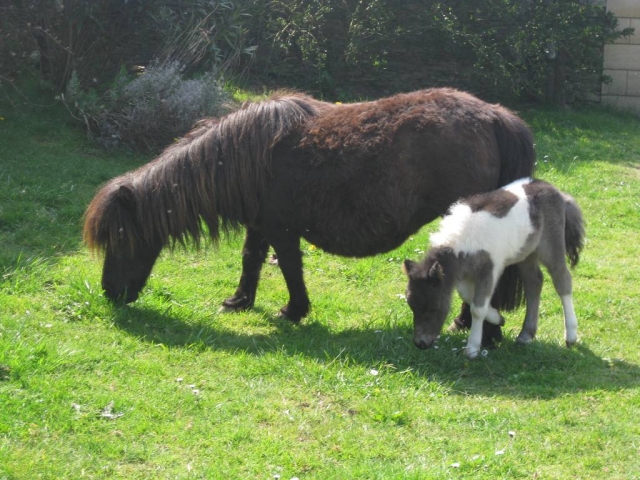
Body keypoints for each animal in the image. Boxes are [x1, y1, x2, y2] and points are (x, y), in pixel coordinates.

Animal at [404, 178, 584, 358]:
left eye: (434, 307)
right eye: (412, 306)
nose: (421, 343)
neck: (462, 240)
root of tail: (557, 191)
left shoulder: (489, 270)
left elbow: (477, 308)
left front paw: (472, 348)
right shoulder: (463, 273)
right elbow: (467, 295)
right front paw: (498, 318)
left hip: (551, 247)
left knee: (562, 281)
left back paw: (571, 336)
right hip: (526, 253)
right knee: (534, 282)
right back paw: (526, 335)